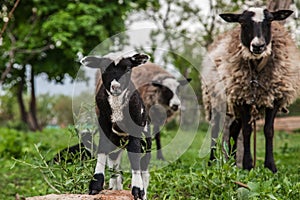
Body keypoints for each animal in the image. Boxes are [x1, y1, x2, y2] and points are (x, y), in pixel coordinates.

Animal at [80, 53, 151, 200]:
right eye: (103, 69)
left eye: (128, 69)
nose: (116, 86)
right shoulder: (103, 124)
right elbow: (102, 149)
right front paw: (96, 184)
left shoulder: (135, 128)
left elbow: (134, 155)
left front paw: (138, 189)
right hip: (116, 142)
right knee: (114, 164)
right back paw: (115, 188)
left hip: (147, 139)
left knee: (144, 166)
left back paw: (144, 192)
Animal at [202, 7, 300, 173]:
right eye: (242, 22)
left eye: (270, 20)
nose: (258, 46)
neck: (256, 72)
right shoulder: (242, 99)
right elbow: (247, 131)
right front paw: (248, 165)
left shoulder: (273, 99)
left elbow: (268, 131)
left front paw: (271, 167)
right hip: (216, 99)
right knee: (215, 131)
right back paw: (211, 163)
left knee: (233, 130)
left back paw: (232, 163)